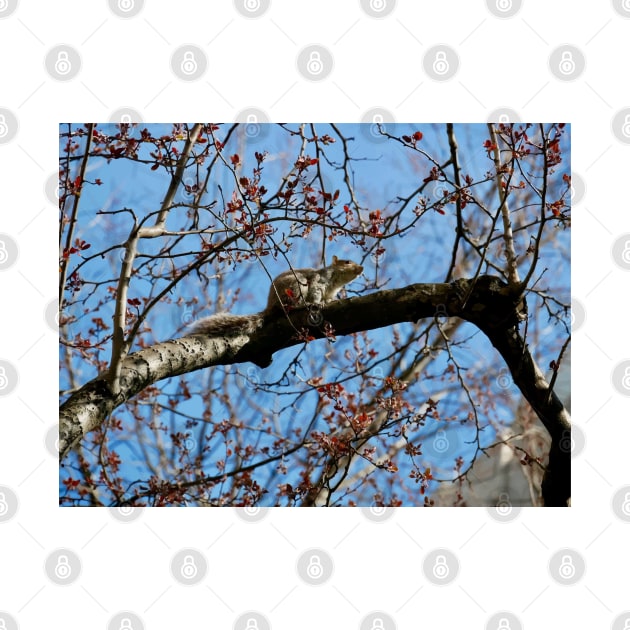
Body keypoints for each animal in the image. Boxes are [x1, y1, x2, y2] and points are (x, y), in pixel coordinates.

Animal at [190, 256, 362, 338]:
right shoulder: (319, 280)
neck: (336, 282)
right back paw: (301, 305)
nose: (361, 268)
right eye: (347, 262)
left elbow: (328, 298)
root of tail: (270, 305)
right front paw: (317, 304)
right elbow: (315, 292)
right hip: (296, 285)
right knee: (289, 305)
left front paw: (331, 301)